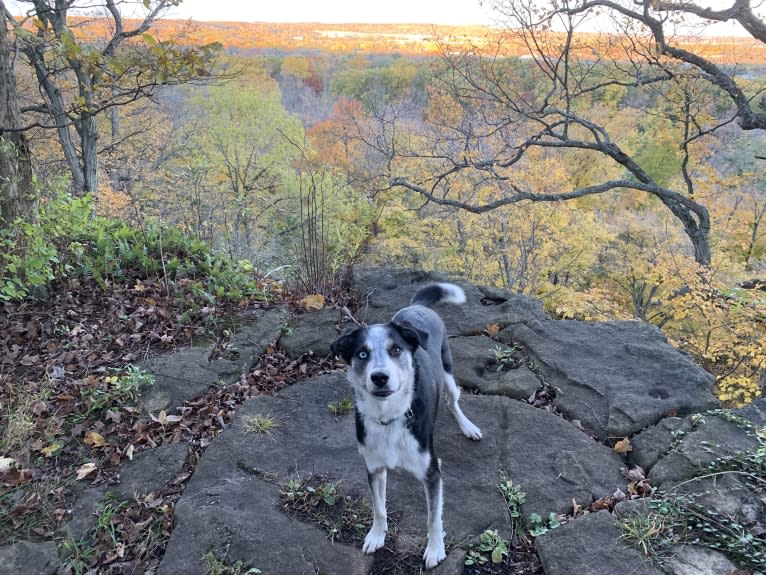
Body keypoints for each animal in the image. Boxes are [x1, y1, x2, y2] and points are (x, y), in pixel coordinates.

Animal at [332, 282, 484, 568]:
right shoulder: (374, 467)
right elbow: (379, 508)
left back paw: (468, 426)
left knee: (453, 402)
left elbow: (433, 518)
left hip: (448, 371)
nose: (380, 377)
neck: (389, 417)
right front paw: (376, 535)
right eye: (362, 353)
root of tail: (417, 306)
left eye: (395, 350)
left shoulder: (432, 472)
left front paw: (435, 550)